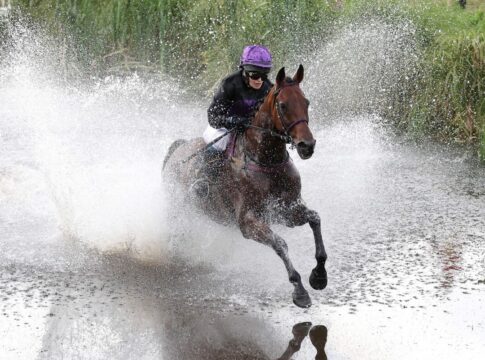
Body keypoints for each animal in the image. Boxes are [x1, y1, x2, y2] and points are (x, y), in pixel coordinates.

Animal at [164, 64, 328, 306]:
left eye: (306, 102)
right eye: (283, 105)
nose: (307, 145)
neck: (266, 160)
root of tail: (177, 151)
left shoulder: (287, 211)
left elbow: (315, 219)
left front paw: (319, 276)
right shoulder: (248, 221)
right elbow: (280, 244)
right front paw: (299, 290)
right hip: (178, 209)